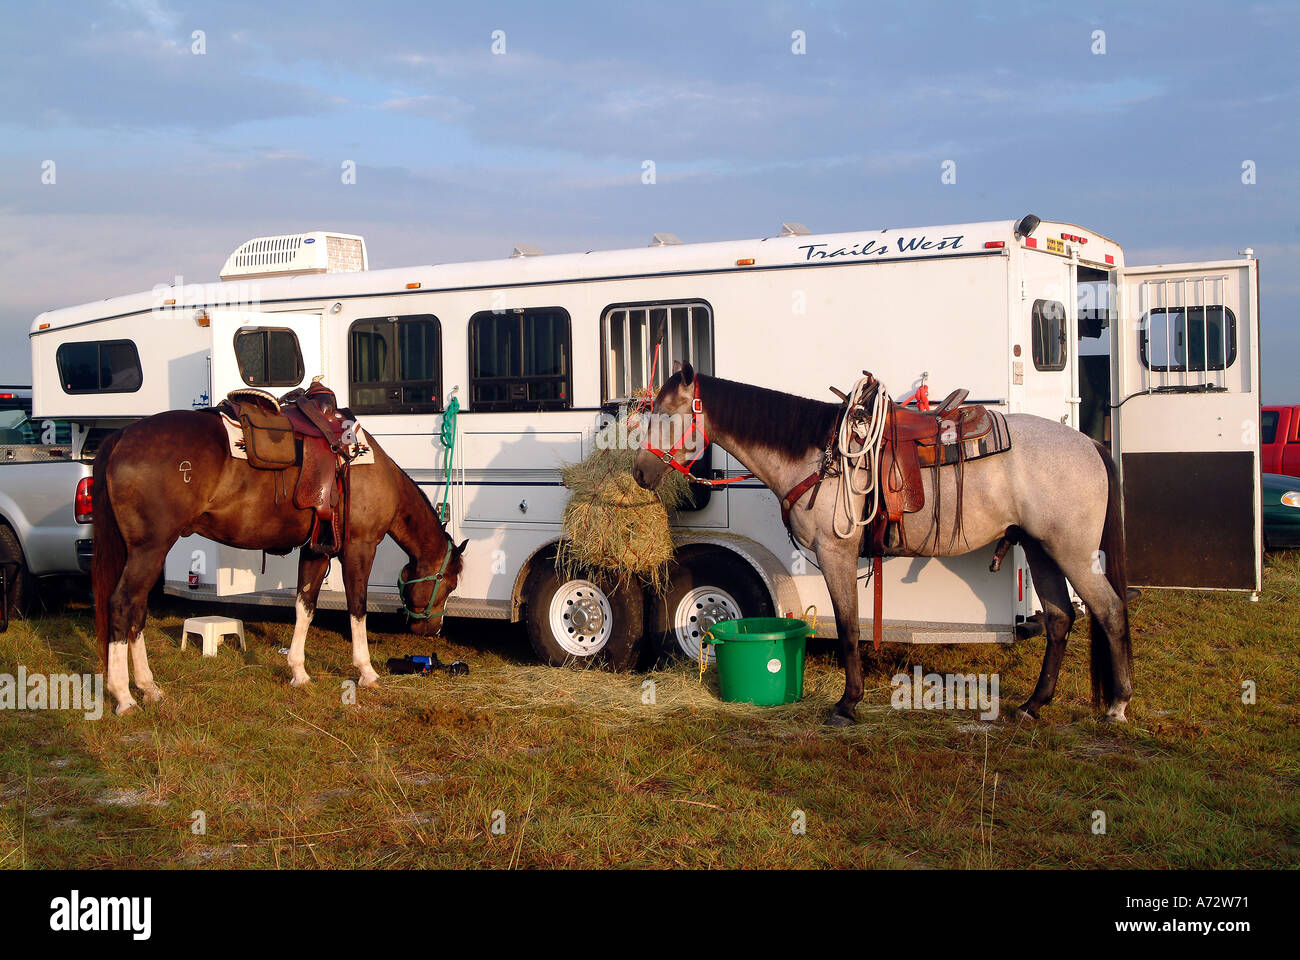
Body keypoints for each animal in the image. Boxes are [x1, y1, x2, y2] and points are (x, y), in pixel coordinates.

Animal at [91, 403, 467, 715]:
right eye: (449, 583)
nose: (433, 629)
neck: (369, 468)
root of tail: (122, 435)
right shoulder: (359, 548)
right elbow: (357, 609)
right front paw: (367, 671)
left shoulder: (316, 550)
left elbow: (305, 607)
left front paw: (299, 672)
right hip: (150, 549)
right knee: (123, 604)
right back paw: (124, 696)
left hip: (140, 552)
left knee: (137, 610)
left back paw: (149, 688)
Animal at [633, 362, 1132, 727]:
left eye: (665, 413)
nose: (639, 472)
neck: (817, 455)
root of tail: (1090, 444)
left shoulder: (836, 553)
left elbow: (848, 627)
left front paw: (846, 704)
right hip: (1041, 548)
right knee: (1061, 619)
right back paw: (1032, 706)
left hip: (1072, 553)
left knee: (1108, 611)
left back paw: (1117, 704)